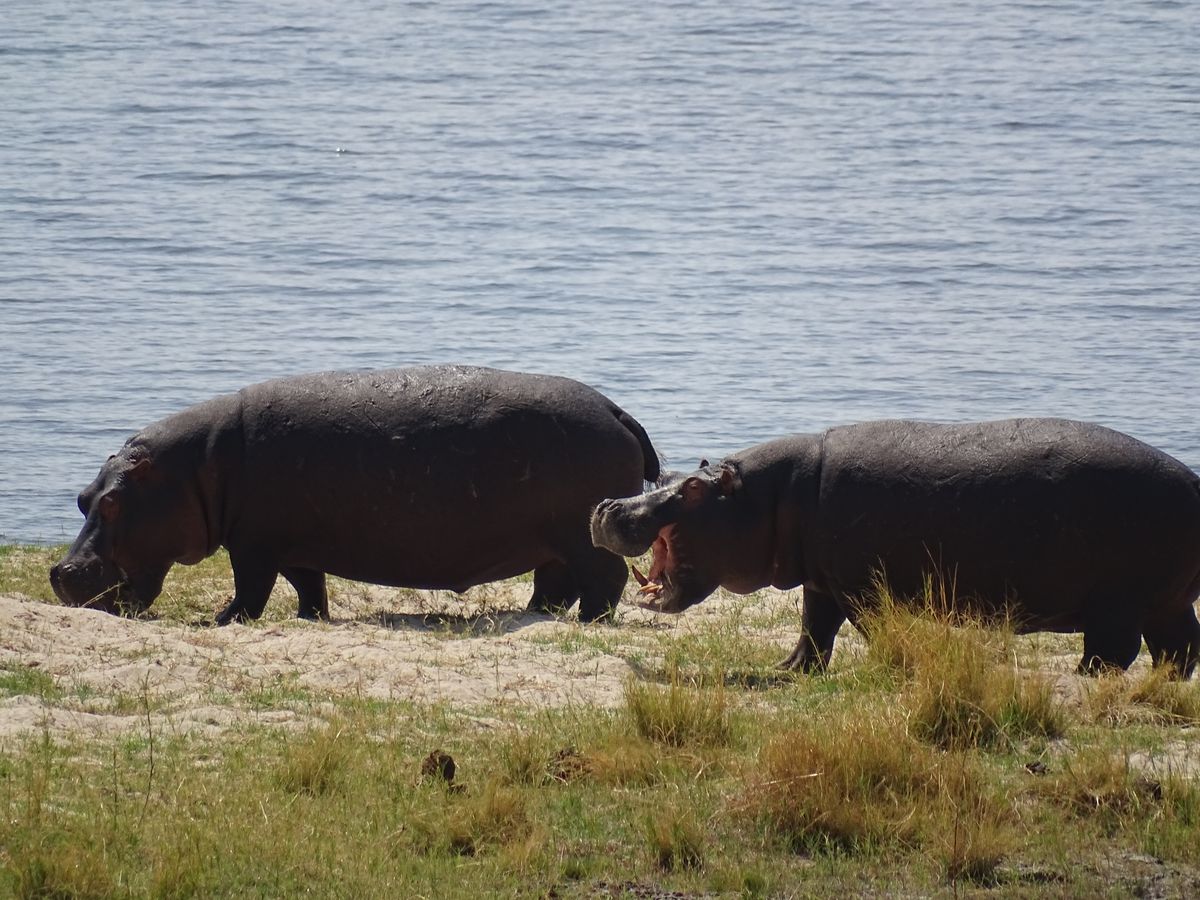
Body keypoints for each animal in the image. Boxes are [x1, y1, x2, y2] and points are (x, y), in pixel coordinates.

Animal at [51, 366, 660, 624]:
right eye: (81, 497)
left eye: (112, 503)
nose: (61, 573)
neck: (194, 468)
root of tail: (618, 411)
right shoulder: (291, 543)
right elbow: (307, 585)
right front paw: (311, 618)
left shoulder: (253, 545)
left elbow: (251, 589)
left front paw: (221, 621)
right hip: (553, 542)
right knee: (555, 585)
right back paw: (531, 615)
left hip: (582, 536)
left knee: (603, 582)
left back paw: (586, 624)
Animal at [591, 419, 1200, 677]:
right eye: (668, 472)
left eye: (694, 490)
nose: (607, 507)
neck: (772, 495)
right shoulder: (821, 580)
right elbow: (814, 628)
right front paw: (788, 667)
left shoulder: (857, 585)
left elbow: (865, 625)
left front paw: (890, 660)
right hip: (1165, 600)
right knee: (1179, 646)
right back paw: (1166, 683)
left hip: (1118, 601)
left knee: (1115, 650)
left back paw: (1084, 677)